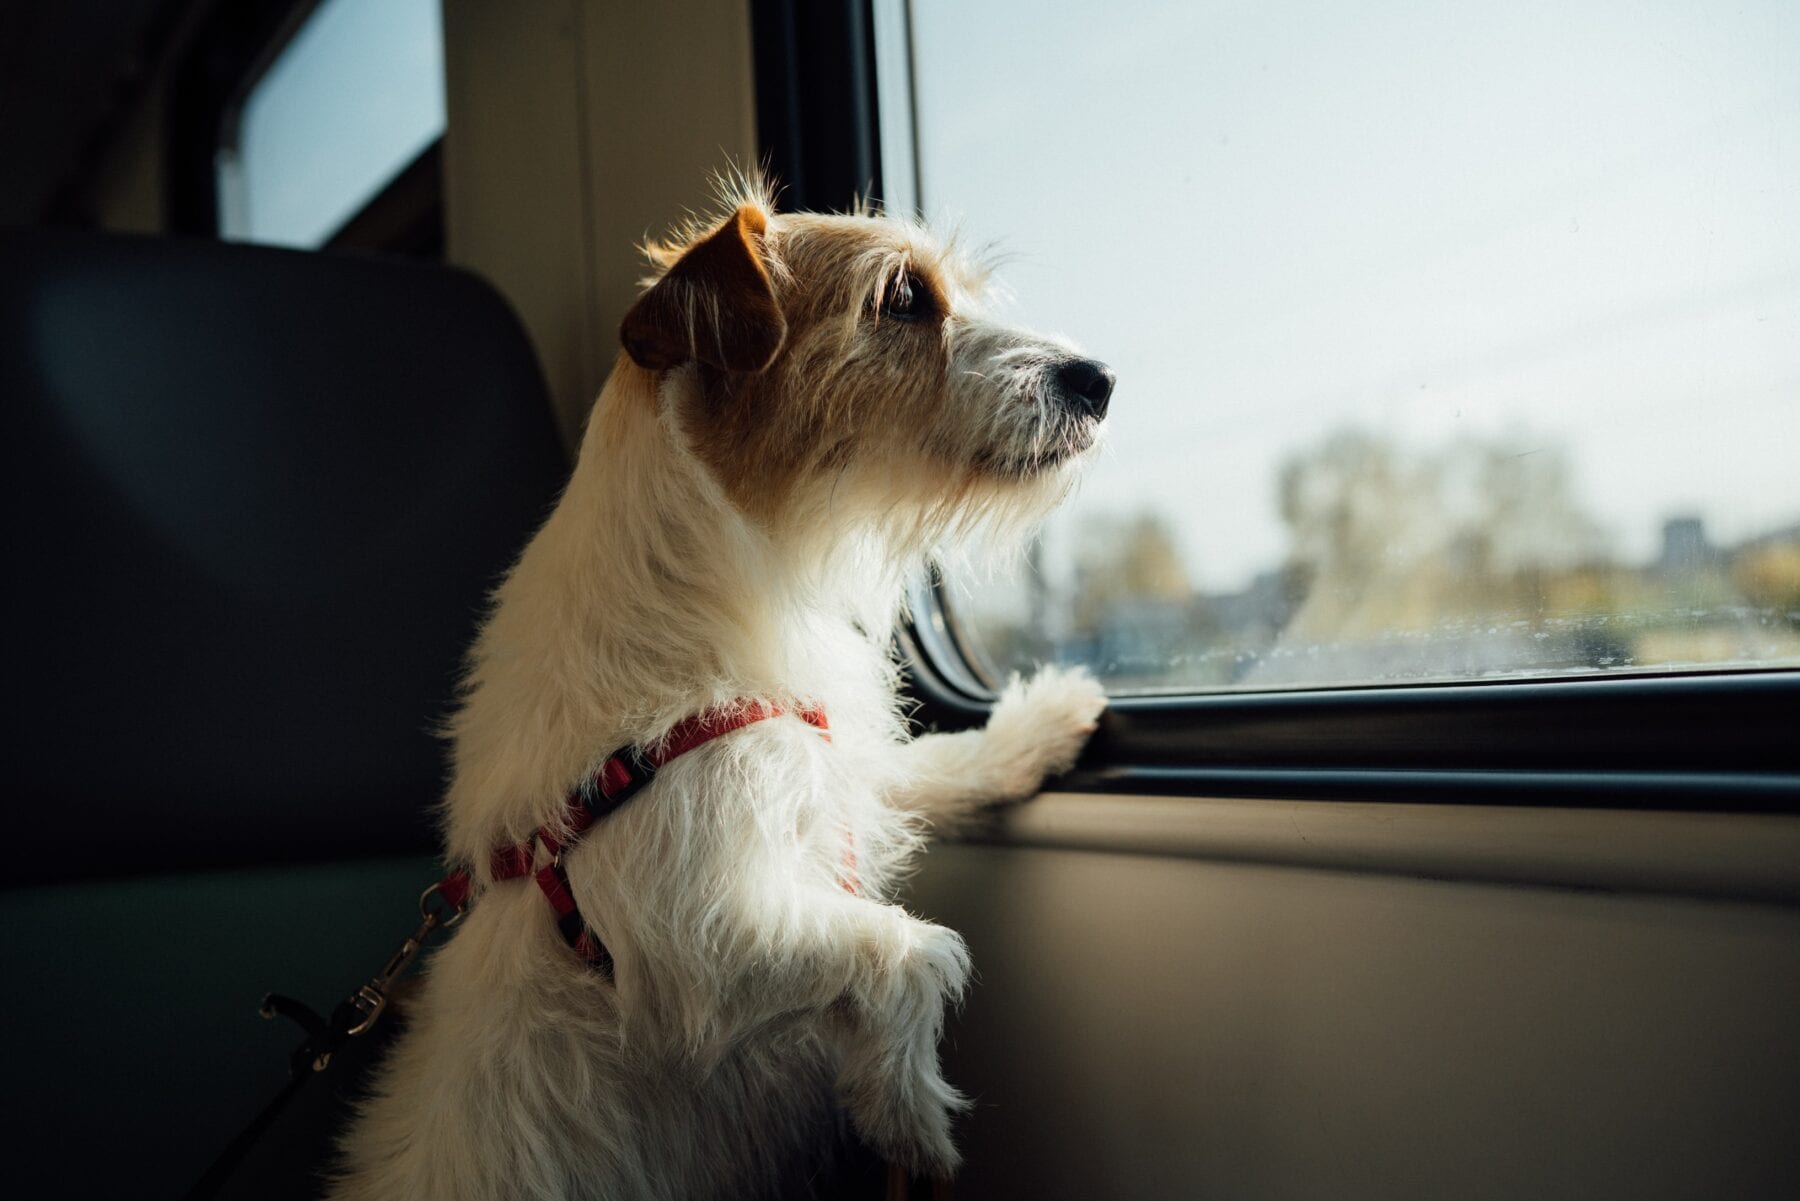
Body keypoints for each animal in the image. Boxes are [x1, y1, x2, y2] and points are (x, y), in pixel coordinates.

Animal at [325, 178, 1108, 1201]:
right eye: (902, 298)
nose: (1098, 379)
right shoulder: (696, 935)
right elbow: (906, 949)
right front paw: (909, 1111)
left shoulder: (821, 759)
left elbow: (926, 766)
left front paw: (1042, 724)